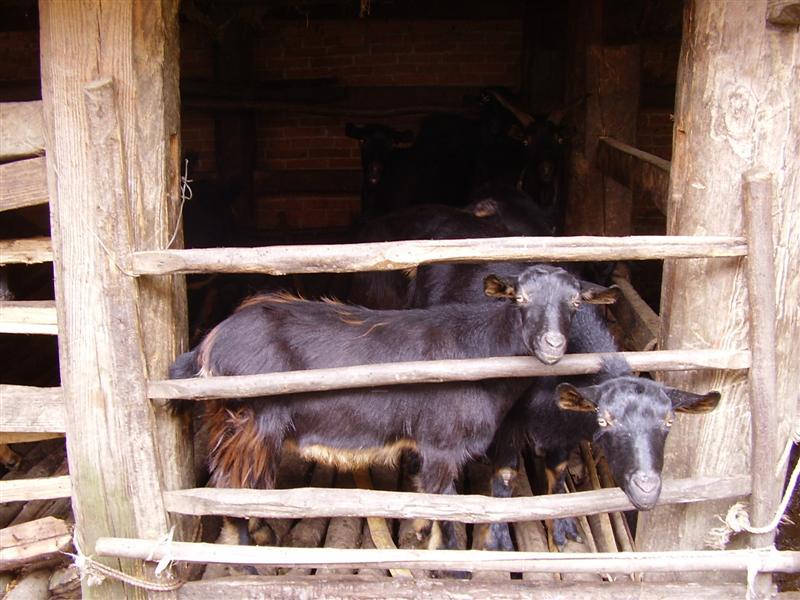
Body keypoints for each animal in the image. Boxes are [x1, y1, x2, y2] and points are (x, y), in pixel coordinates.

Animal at [172, 264, 588, 556]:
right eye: (521, 299)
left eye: (575, 303)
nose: (553, 344)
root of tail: (210, 343)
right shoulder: (442, 444)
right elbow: (446, 513)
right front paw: (450, 567)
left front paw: (419, 532)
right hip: (249, 421)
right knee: (231, 486)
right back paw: (247, 556)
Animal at [484, 304, 720, 552]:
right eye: (604, 421)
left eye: (669, 421)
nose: (646, 490)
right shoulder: (509, 420)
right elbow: (506, 474)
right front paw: (498, 540)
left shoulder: (566, 430)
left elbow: (558, 470)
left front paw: (562, 528)